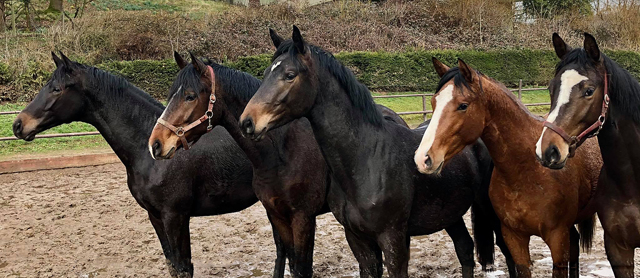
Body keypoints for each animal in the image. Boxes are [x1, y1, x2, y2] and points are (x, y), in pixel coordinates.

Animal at [11, 52, 256, 278]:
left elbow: (183, 269)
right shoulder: (155, 216)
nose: (18, 125)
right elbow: (172, 265)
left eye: (56, 89)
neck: (147, 155)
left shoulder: (175, 217)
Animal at [240, 26, 516, 278]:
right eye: (266, 73)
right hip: (449, 213)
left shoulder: (393, 240)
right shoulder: (358, 240)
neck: (366, 160)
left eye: (290, 74)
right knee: (465, 250)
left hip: (491, 212)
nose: (248, 122)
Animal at [412, 57, 604, 276]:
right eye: (434, 102)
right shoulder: (514, 237)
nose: (423, 158)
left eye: (463, 105)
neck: (527, 171)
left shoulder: (557, 238)